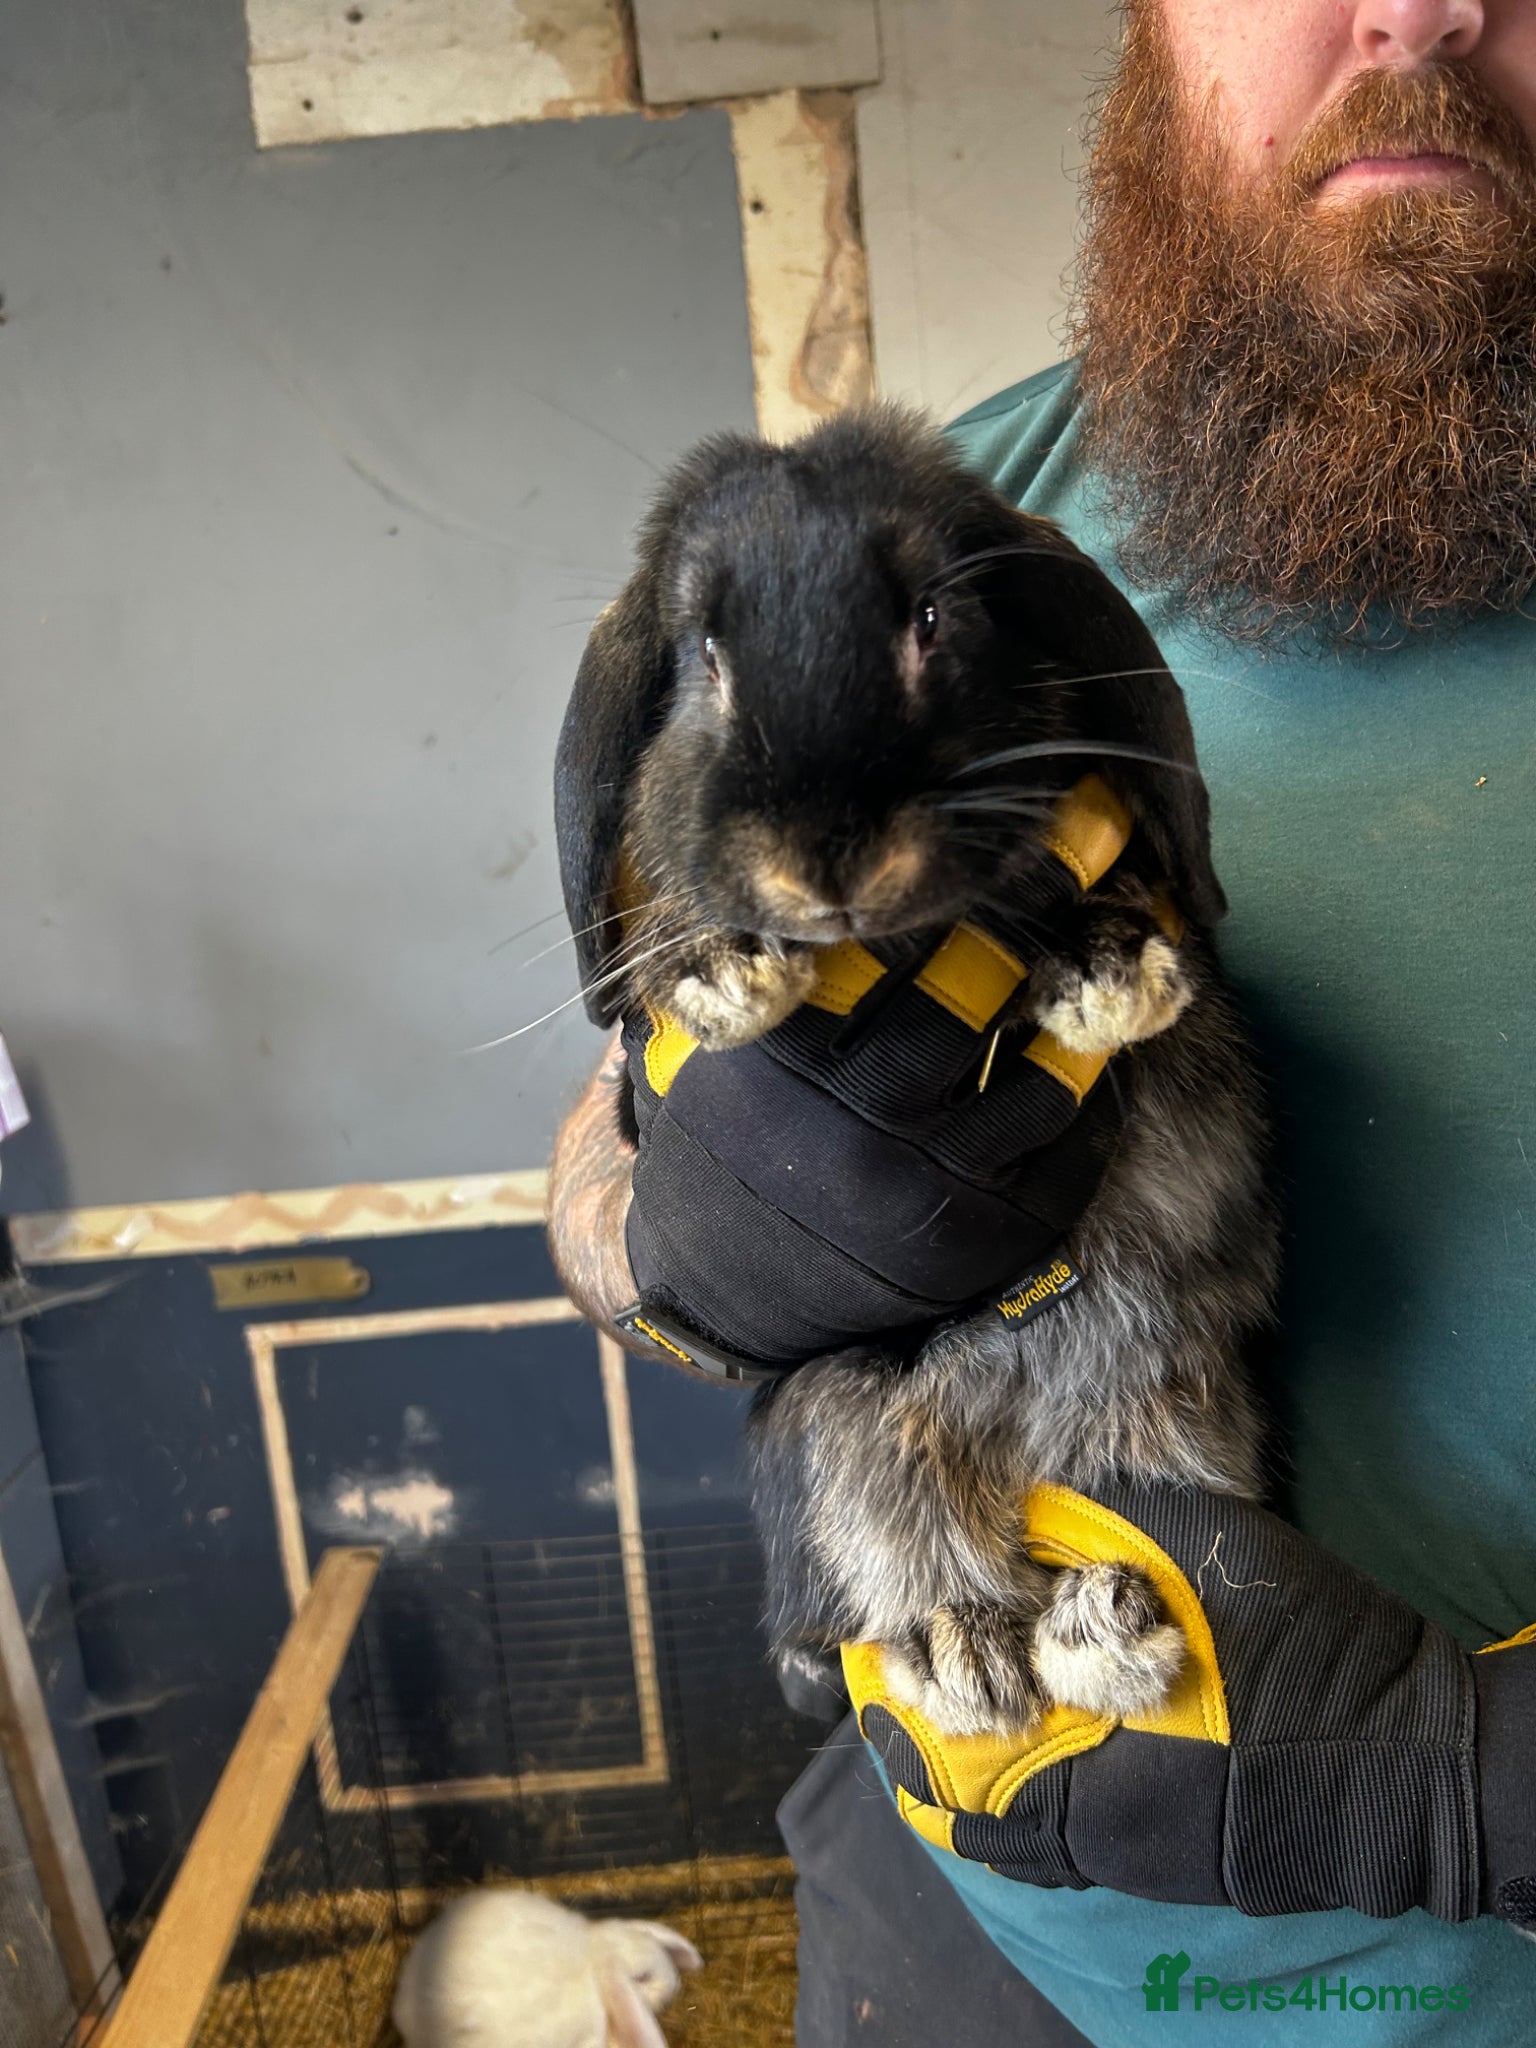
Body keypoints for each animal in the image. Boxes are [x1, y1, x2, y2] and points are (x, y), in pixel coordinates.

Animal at [554, 403, 1277, 1737]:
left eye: (936, 616)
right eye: (702, 654)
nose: (825, 860)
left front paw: (1110, 971)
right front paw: (719, 968)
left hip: (1177, 1417)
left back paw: (1105, 1624)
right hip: (838, 1429)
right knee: (898, 1565)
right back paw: (973, 1654)